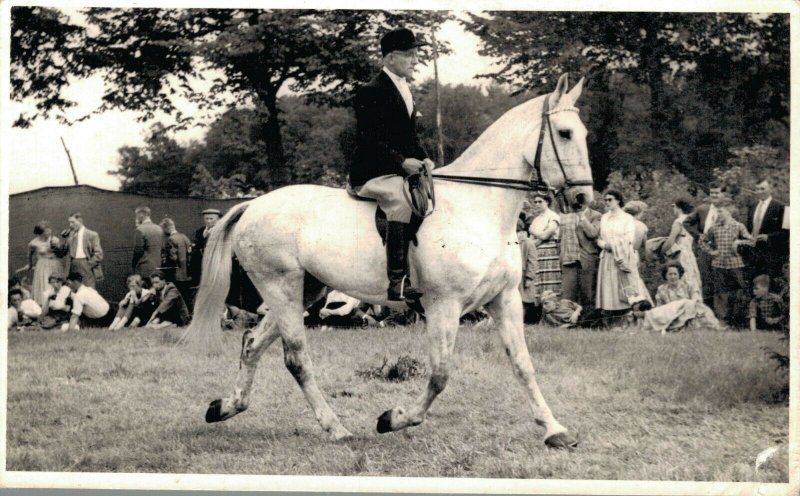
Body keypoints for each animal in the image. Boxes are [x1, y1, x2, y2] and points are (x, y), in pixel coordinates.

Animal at [186, 74, 588, 450]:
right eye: (565, 133)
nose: (583, 198)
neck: (477, 207)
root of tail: (253, 205)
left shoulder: (504, 299)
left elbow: (523, 365)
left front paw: (555, 430)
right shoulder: (444, 305)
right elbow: (440, 375)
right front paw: (393, 419)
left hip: (306, 289)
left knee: (253, 342)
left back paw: (226, 407)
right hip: (280, 284)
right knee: (296, 358)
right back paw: (336, 428)